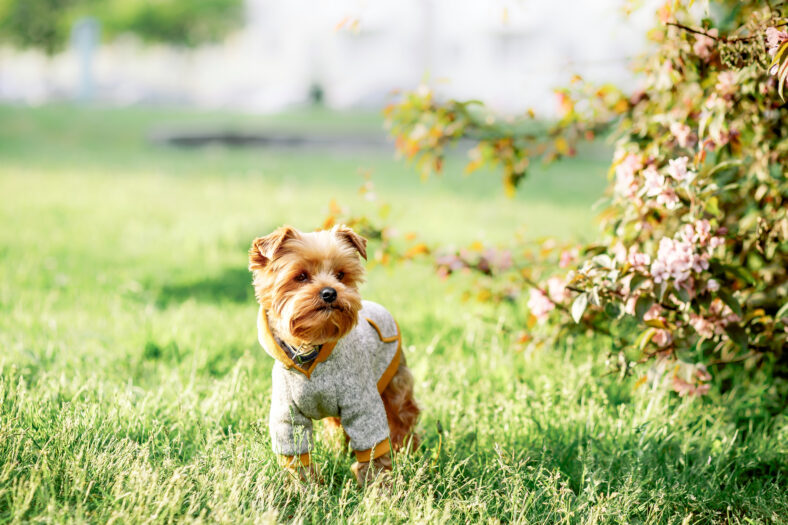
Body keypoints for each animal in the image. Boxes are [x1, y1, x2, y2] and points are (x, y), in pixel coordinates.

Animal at [248, 223, 418, 486]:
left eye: (341, 275)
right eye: (300, 277)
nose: (330, 292)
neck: (312, 349)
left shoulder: (362, 402)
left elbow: (371, 444)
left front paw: (378, 486)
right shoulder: (288, 414)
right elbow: (295, 451)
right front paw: (302, 487)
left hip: (395, 379)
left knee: (402, 414)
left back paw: (406, 449)